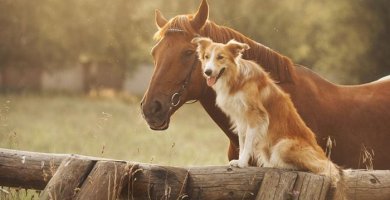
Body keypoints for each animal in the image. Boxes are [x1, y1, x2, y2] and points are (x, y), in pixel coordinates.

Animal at [191, 37, 344, 198]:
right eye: (206, 57)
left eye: (220, 57)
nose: (207, 72)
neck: (236, 79)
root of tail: (323, 156)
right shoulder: (241, 118)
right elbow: (242, 141)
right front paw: (240, 160)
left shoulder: (255, 116)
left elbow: (248, 142)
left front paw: (242, 163)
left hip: (283, 145)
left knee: (319, 168)